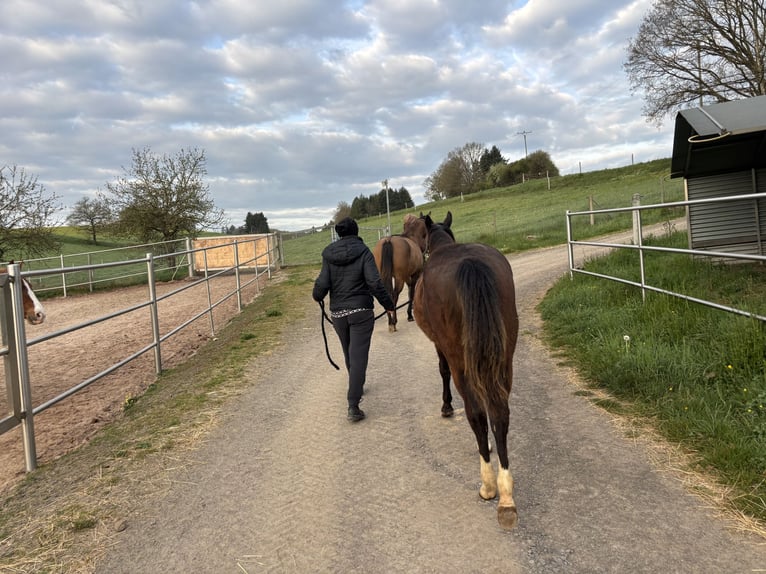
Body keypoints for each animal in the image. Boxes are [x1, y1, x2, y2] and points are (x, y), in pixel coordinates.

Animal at [413, 211, 519, 530]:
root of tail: (471, 264)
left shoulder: (440, 346)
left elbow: (442, 371)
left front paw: (446, 406)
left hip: (460, 358)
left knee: (476, 413)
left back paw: (489, 485)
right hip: (504, 357)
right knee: (499, 412)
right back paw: (505, 491)